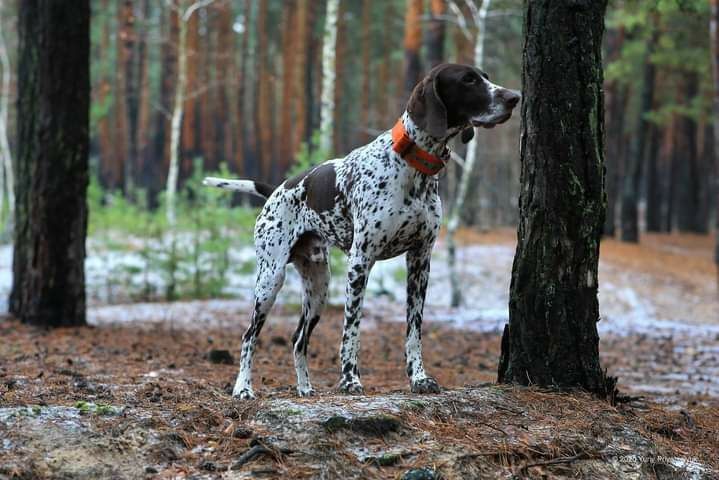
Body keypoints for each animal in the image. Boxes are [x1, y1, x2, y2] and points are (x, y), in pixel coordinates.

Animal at [205, 64, 520, 402]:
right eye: (468, 80)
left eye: (485, 77)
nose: (515, 97)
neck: (412, 167)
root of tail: (276, 189)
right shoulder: (360, 261)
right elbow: (351, 330)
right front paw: (349, 380)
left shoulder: (420, 262)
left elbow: (414, 330)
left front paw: (419, 378)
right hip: (270, 279)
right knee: (249, 335)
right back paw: (243, 388)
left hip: (318, 286)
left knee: (298, 339)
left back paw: (305, 388)